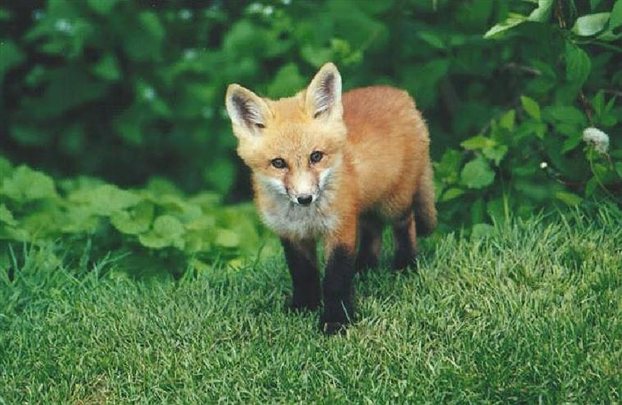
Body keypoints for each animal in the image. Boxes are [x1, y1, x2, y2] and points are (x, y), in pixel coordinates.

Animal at [225, 63, 438, 332]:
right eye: (278, 163)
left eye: (316, 156)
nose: (305, 198)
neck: (306, 218)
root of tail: (400, 94)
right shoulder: (292, 235)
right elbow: (303, 275)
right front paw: (304, 307)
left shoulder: (340, 228)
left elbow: (335, 280)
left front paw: (336, 321)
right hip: (365, 206)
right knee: (373, 230)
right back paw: (365, 267)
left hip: (394, 202)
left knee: (404, 225)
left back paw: (405, 266)